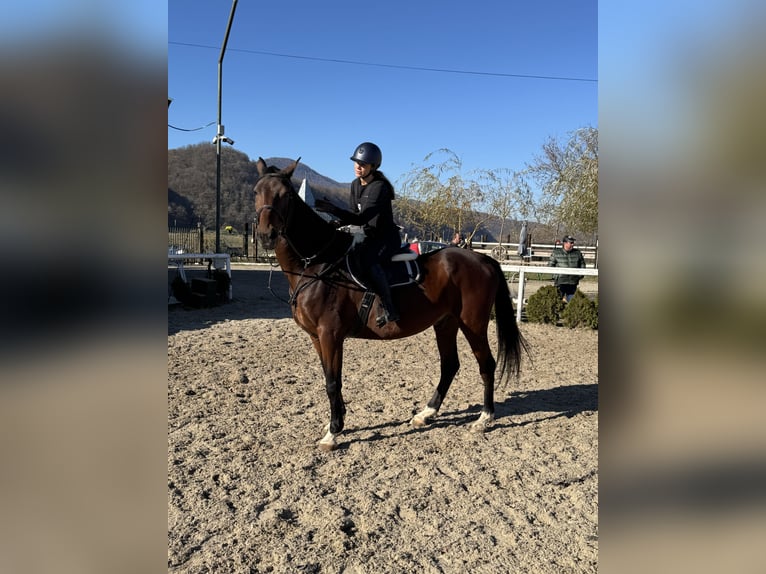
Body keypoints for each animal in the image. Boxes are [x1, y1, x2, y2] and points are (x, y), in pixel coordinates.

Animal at [254, 159, 528, 454]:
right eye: (257, 191)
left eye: (286, 195)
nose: (267, 235)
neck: (318, 263)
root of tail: (482, 259)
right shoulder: (317, 338)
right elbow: (331, 379)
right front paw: (337, 422)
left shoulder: (330, 335)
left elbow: (332, 382)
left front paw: (333, 432)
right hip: (446, 323)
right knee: (449, 365)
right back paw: (426, 413)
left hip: (473, 324)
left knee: (486, 363)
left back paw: (484, 418)